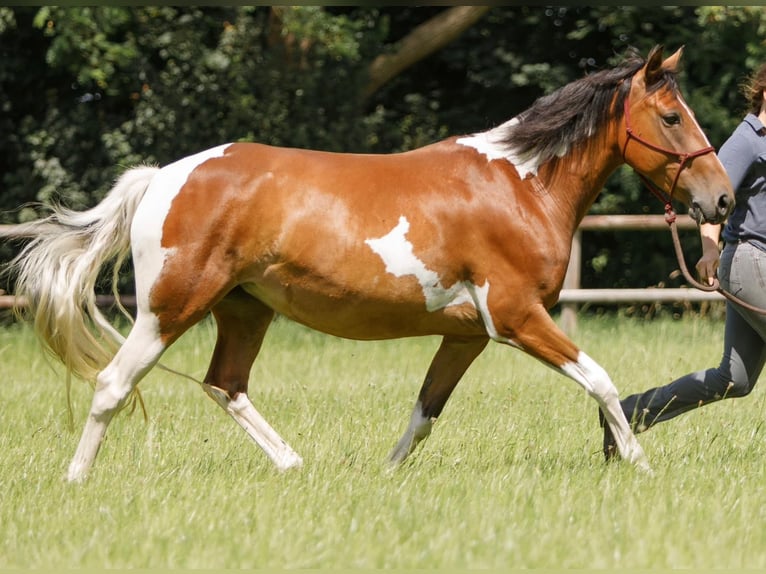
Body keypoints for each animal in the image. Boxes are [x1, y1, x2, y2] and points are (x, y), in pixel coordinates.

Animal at [9, 47, 736, 484]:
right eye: (671, 117)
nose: (722, 198)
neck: (521, 184)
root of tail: (162, 177)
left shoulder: (466, 335)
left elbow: (424, 413)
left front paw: (386, 478)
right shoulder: (516, 318)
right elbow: (602, 381)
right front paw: (640, 465)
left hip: (244, 309)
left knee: (226, 385)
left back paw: (295, 465)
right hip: (172, 307)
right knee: (113, 384)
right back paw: (76, 479)